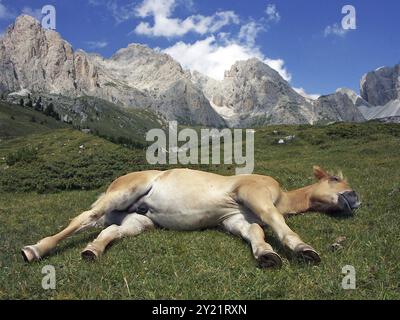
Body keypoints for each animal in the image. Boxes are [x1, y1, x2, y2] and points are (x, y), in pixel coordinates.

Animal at [21, 165, 360, 268]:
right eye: (335, 179)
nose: (356, 197)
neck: (282, 195)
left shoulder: (234, 218)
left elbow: (256, 232)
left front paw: (266, 254)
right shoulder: (254, 194)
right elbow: (276, 221)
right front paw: (303, 249)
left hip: (136, 220)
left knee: (107, 232)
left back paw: (92, 251)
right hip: (122, 194)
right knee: (83, 217)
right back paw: (34, 249)